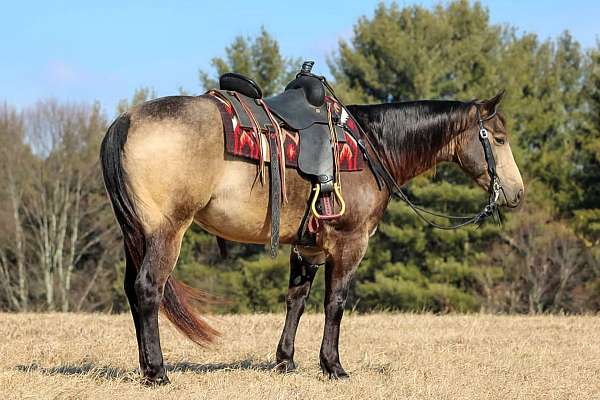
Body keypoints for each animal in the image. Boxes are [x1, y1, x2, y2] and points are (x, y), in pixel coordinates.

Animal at [101, 65, 524, 384]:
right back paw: (158, 372)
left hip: (134, 234)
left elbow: (297, 300)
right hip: (166, 232)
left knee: (132, 291)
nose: (516, 192)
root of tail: (124, 120)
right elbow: (335, 302)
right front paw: (333, 366)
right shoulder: (350, 243)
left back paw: (145, 367)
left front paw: (285, 360)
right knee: (148, 289)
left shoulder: (308, 247)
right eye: (498, 138)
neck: (372, 146)